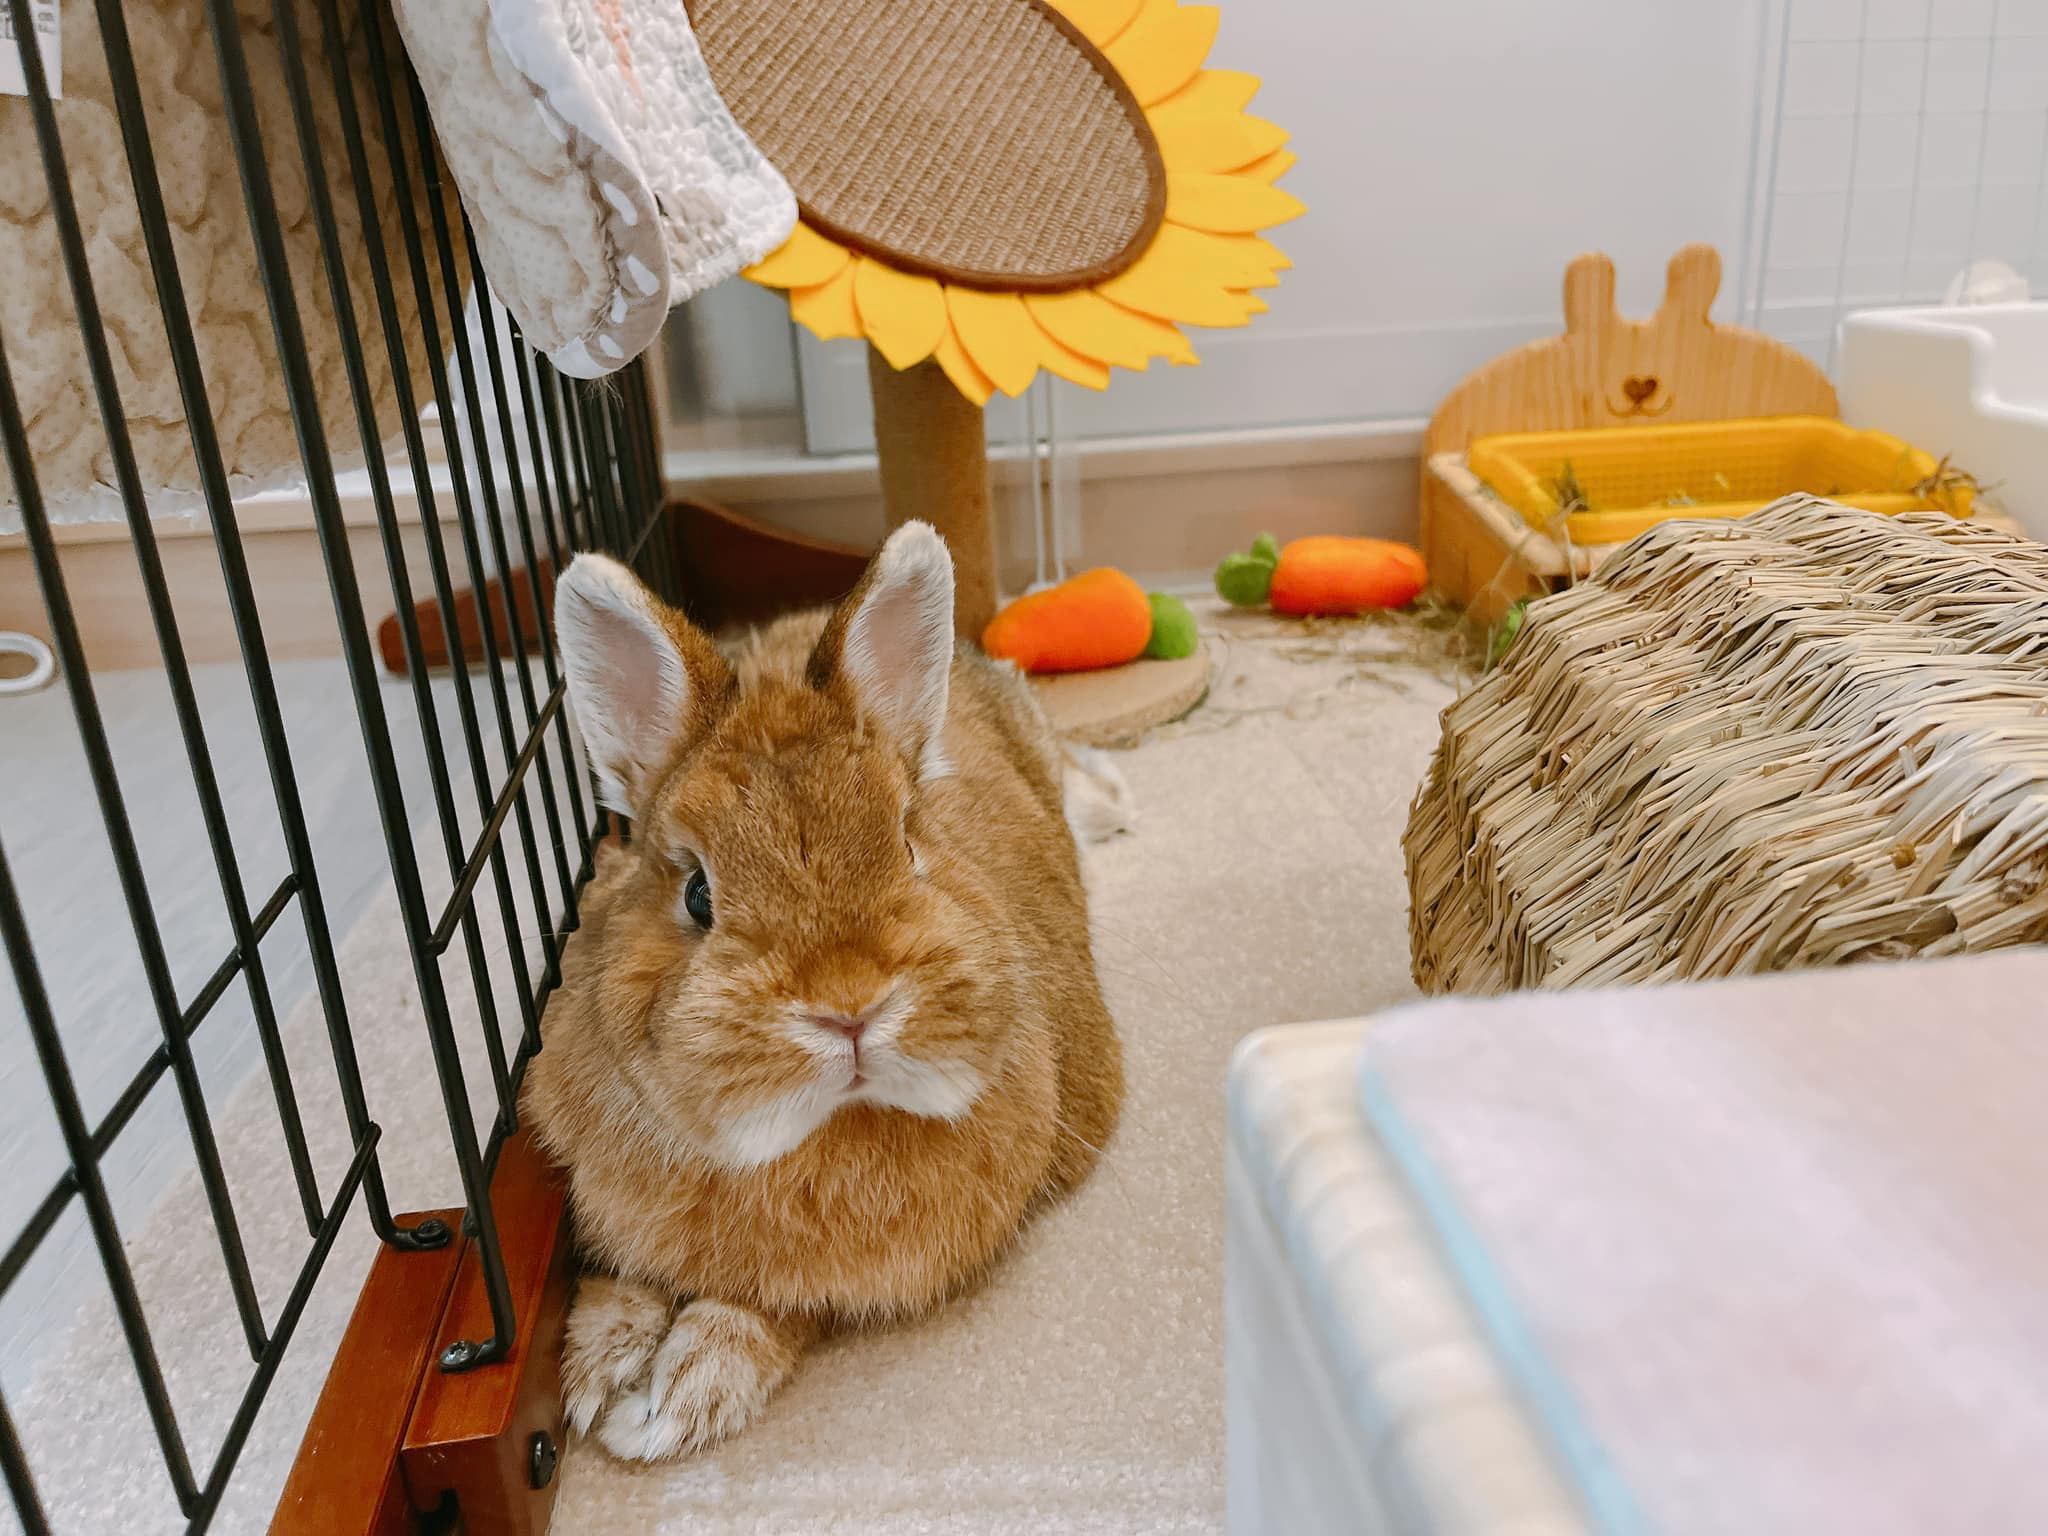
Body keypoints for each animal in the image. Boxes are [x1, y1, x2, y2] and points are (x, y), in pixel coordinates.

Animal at [526, 520, 1125, 1461]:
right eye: (697, 894)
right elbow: (626, 1270)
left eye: (911, 847)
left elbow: (780, 1309)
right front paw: (603, 1359)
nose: (850, 1009)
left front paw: (680, 1394)